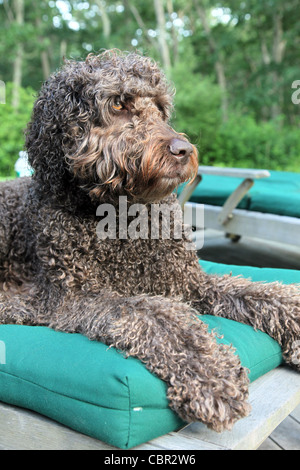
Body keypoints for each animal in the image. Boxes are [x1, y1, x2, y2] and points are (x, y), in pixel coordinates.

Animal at [0, 49, 300, 432]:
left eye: (159, 107)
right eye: (118, 104)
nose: (183, 149)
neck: (124, 218)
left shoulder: (189, 282)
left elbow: (257, 292)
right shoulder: (76, 297)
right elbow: (158, 315)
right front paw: (210, 374)